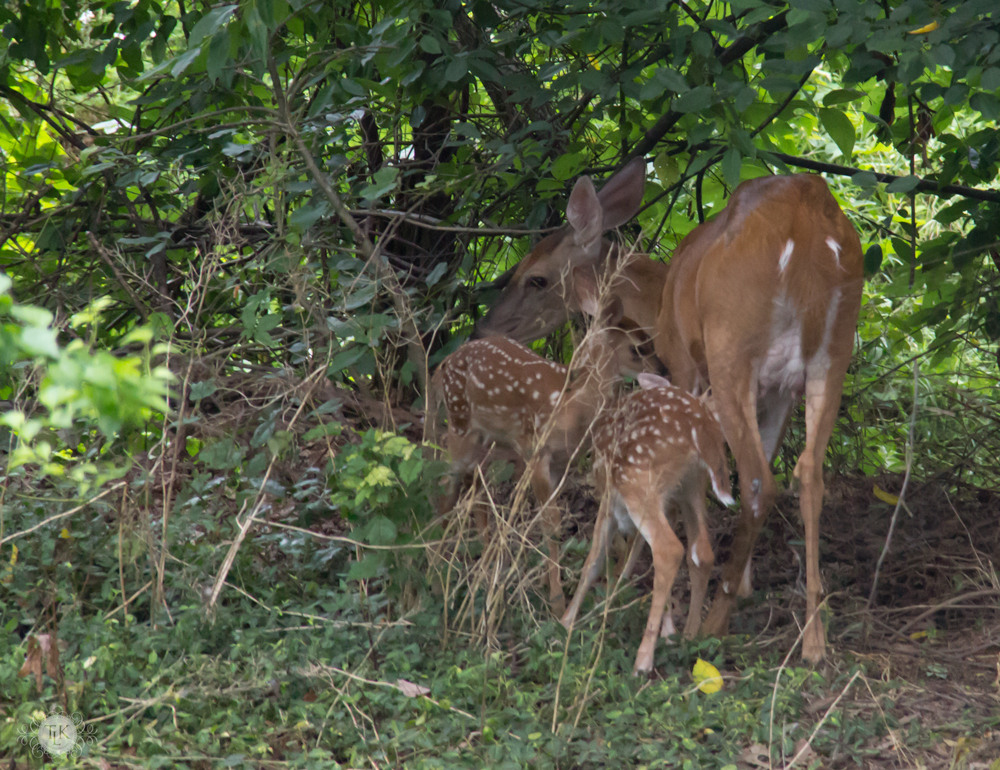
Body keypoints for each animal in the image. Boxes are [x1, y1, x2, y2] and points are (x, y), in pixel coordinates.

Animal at [564, 372, 736, 672]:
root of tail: (701, 426)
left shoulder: (609, 503)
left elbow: (593, 561)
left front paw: (567, 621)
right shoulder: (669, 503)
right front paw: (667, 632)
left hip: (636, 482)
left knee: (669, 549)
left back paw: (642, 661)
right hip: (692, 486)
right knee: (701, 552)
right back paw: (689, 638)